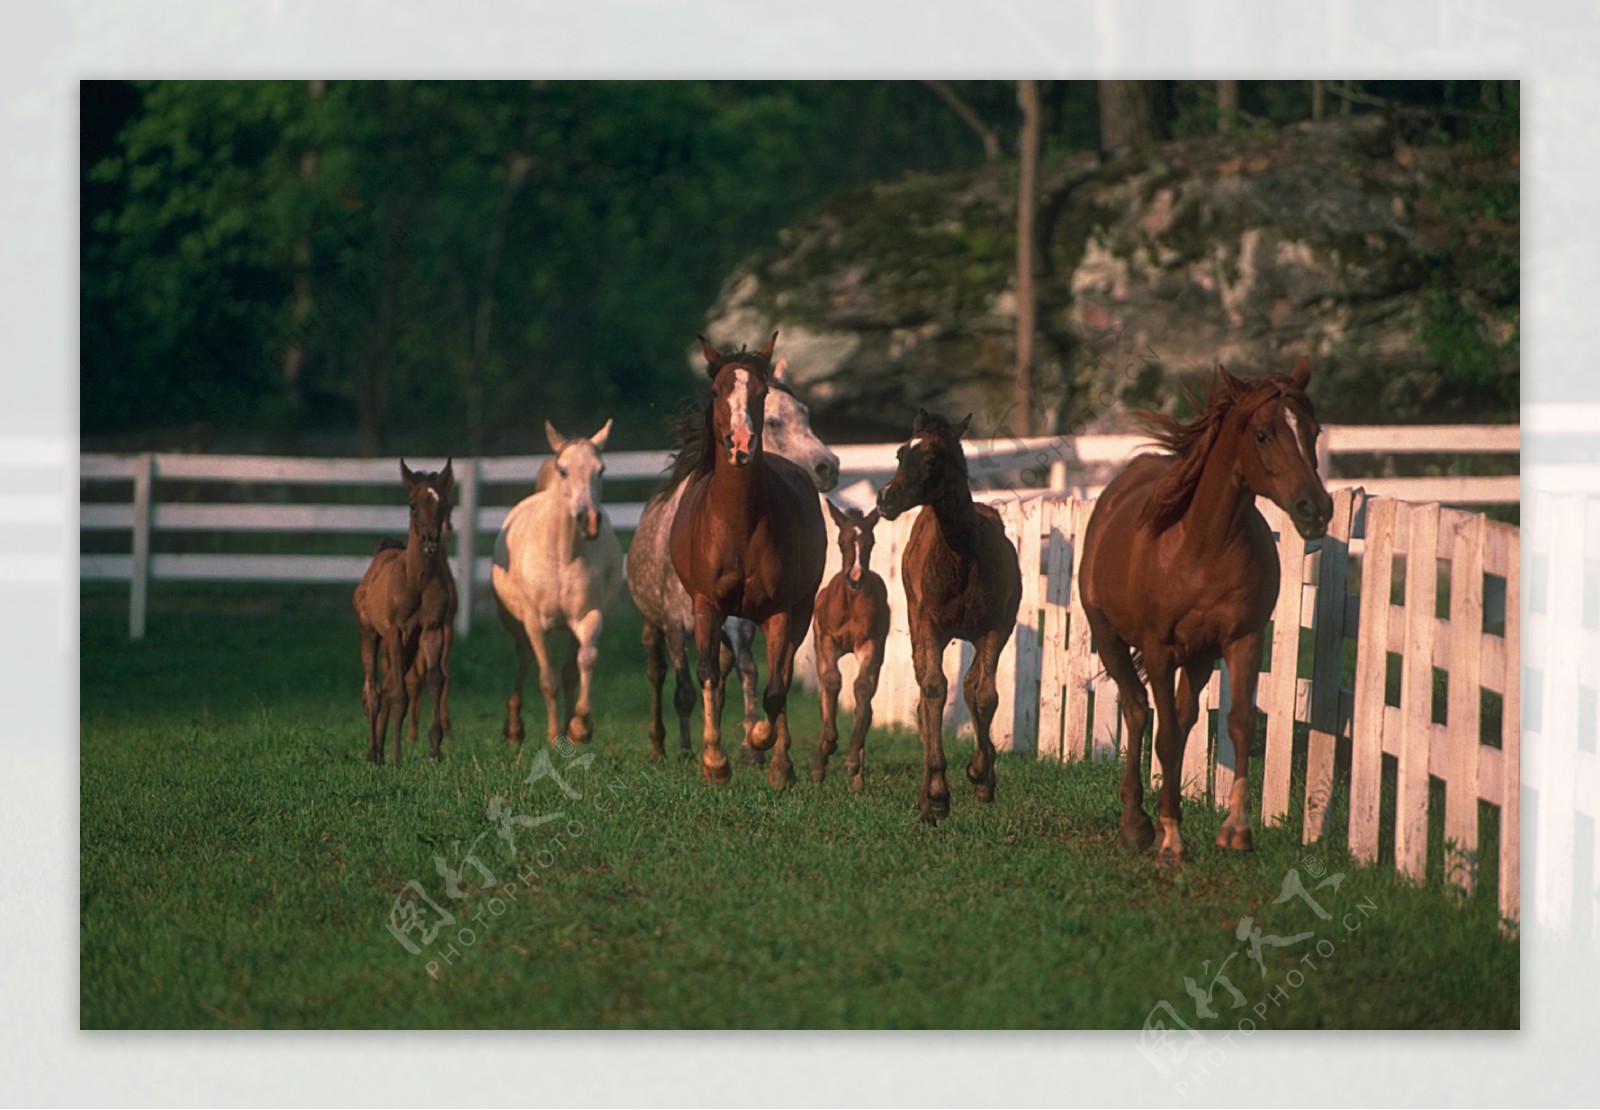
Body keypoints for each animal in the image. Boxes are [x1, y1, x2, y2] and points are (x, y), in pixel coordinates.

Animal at [355, 457, 457, 764]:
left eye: (444, 503)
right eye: (412, 504)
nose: (430, 540)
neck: (416, 580)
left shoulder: (432, 630)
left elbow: (435, 680)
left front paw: (435, 750)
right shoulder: (393, 631)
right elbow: (399, 694)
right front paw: (397, 758)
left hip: (409, 643)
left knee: (387, 686)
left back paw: (380, 750)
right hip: (370, 632)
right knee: (373, 690)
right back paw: (373, 754)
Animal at [672, 332, 832, 790]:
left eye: (761, 393)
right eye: (716, 391)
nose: (741, 444)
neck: (738, 524)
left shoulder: (779, 611)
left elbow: (776, 688)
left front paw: (762, 744)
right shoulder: (706, 605)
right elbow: (709, 673)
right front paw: (715, 762)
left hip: (799, 611)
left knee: (783, 671)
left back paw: (781, 764)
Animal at [876, 409, 1024, 825]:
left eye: (932, 459)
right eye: (899, 454)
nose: (885, 499)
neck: (961, 558)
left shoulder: (994, 628)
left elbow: (983, 694)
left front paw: (980, 775)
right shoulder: (928, 626)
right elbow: (933, 690)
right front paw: (938, 797)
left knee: (972, 686)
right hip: (916, 624)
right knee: (926, 695)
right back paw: (928, 798)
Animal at [1081, 361, 1331, 863]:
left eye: (1312, 431)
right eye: (1262, 434)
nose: (1315, 509)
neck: (1200, 548)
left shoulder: (1243, 640)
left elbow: (1239, 724)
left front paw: (1235, 831)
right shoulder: (1158, 650)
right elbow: (1164, 735)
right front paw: (1172, 839)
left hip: (1197, 658)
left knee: (1179, 718)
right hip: (1110, 640)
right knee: (1138, 710)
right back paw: (1137, 824)